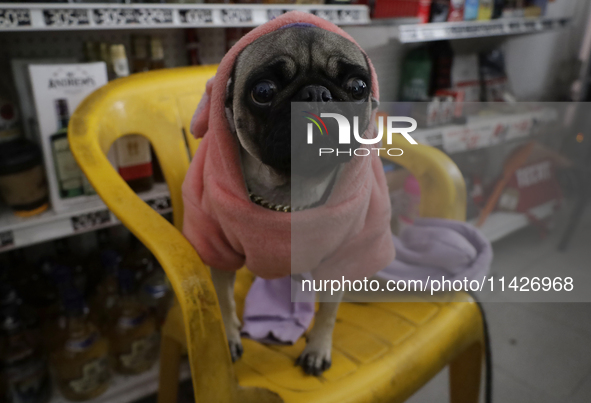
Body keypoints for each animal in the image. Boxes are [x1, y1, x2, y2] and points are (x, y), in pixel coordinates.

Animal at [210, 26, 376, 378]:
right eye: (263, 90)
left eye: (357, 87)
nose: (315, 93)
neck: (288, 193)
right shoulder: (218, 252)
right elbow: (224, 301)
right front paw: (229, 336)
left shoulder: (338, 261)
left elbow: (327, 313)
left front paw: (317, 349)